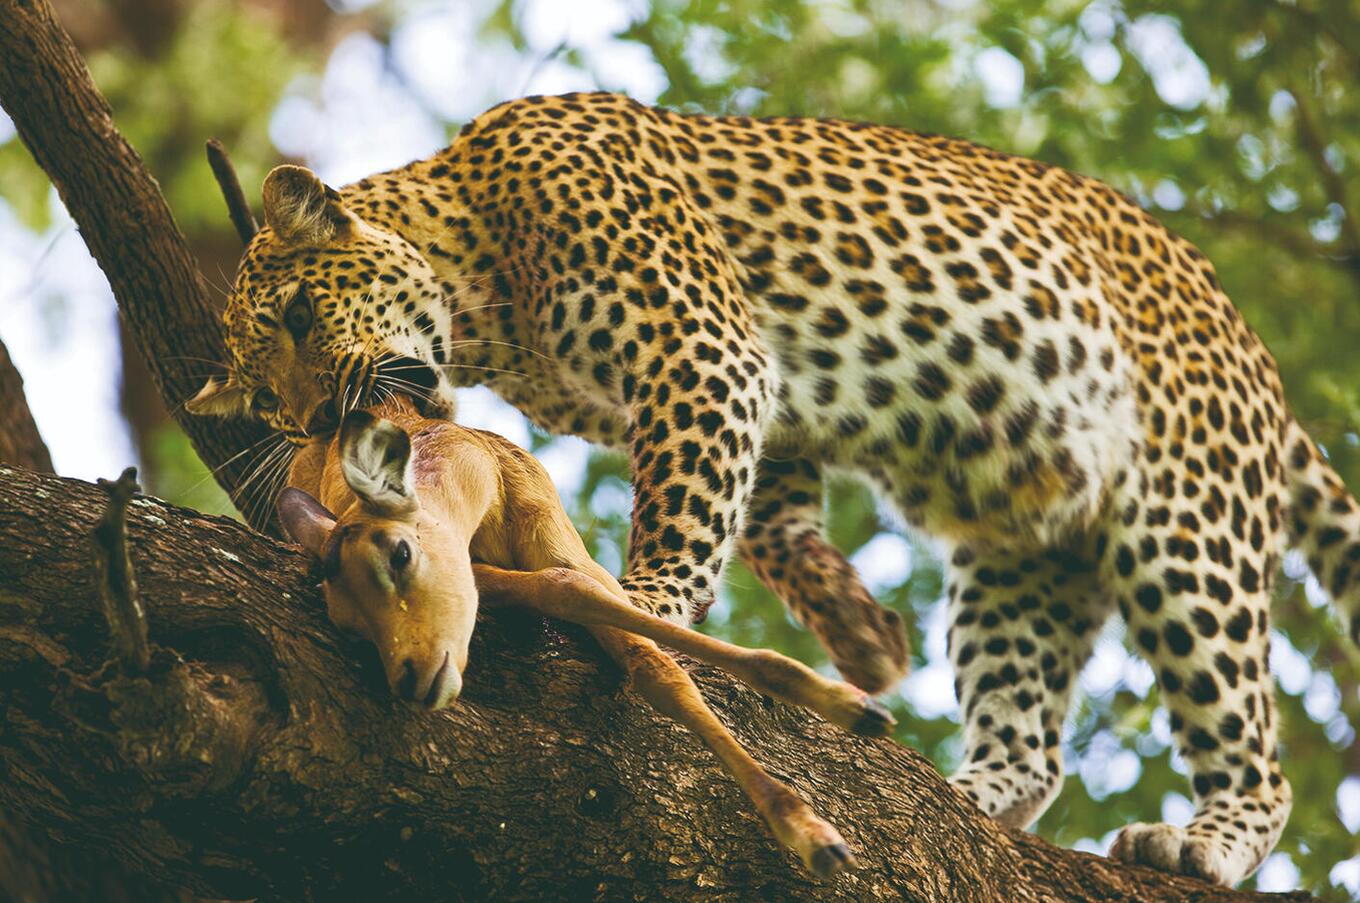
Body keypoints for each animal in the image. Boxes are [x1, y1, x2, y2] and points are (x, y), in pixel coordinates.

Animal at [189, 89, 1360, 881]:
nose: (318, 424)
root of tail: (1247, 346)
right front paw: (857, 630)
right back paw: (966, 793)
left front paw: (648, 602)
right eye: (265, 404)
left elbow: (680, 518)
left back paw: (1203, 841)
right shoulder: (761, 402)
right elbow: (764, 515)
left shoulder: (701, 350)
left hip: (1187, 512)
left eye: (300, 317)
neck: (482, 282)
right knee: (1030, 737)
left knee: (1250, 740)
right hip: (1025, 556)